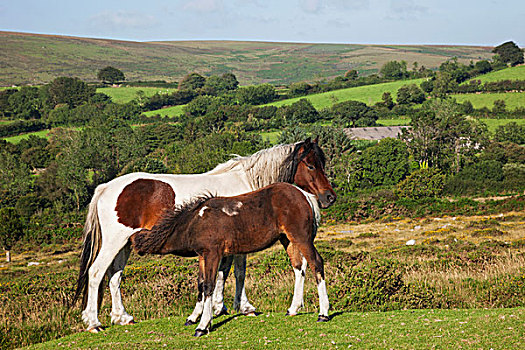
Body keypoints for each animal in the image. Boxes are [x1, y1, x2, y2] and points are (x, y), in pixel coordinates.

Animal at [130, 182, 328, 334]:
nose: (134, 248)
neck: (196, 221)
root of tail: (305, 195)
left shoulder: (213, 253)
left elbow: (209, 285)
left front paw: (203, 325)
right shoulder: (202, 256)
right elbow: (201, 284)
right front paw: (193, 317)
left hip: (301, 237)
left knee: (316, 263)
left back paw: (323, 313)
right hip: (287, 239)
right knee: (299, 268)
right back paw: (293, 309)